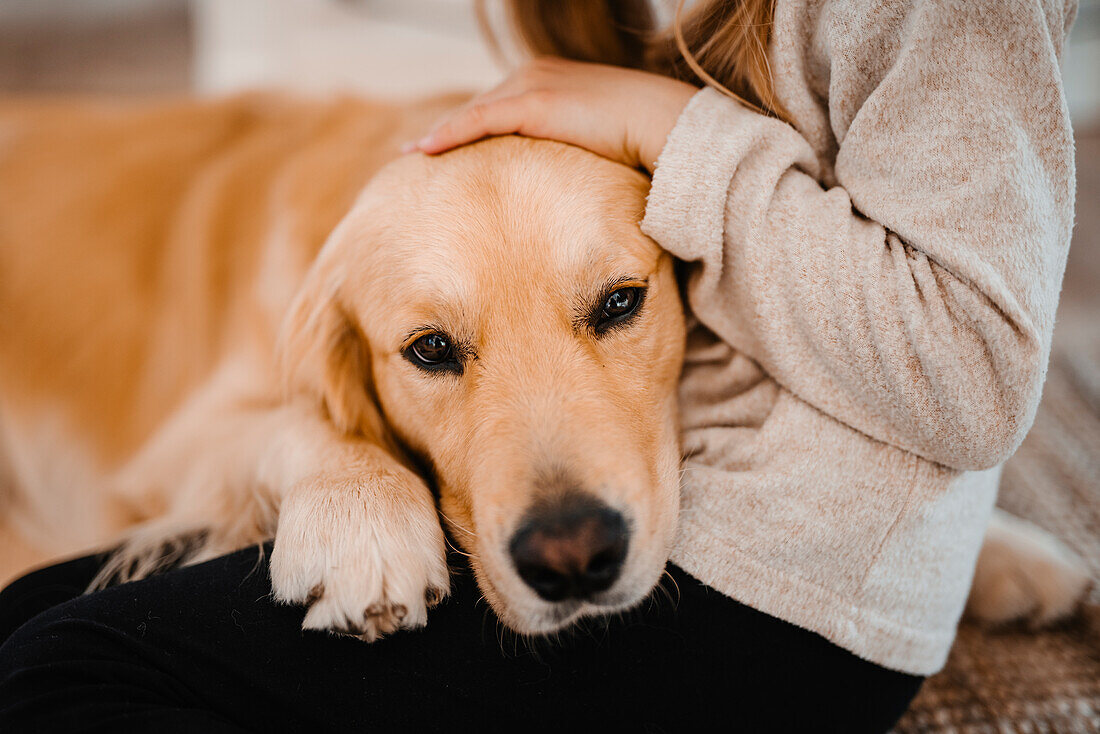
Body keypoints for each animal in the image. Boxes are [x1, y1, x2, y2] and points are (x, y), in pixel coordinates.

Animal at [0, 94, 1086, 638]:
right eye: (430, 350)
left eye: (620, 303)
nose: (573, 558)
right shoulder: (162, 450)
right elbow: (303, 417)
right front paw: (361, 526)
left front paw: (1016, 558)